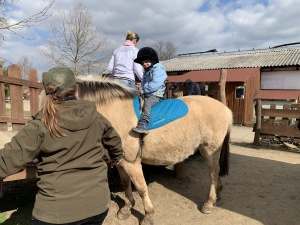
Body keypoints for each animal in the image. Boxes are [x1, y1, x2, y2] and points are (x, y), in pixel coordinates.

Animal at [77, 77, 232, 223]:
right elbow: (126, 183)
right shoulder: (120, 162)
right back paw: (217, 195)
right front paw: (126, 208)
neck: (116, 114)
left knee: (213, 172)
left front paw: (148, 214)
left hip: (210, 149)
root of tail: (225, 109)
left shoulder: (132, 162)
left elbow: (141, 188)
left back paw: (209, 203)